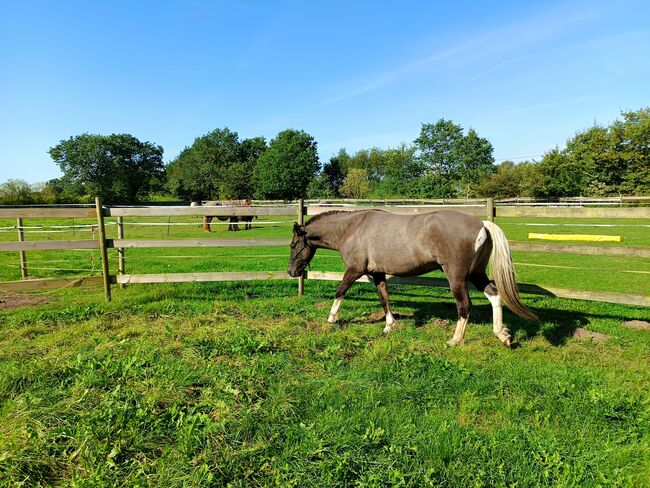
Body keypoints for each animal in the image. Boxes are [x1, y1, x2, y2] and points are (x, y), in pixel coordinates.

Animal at [286, 210, 536, 346]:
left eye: (293, 245)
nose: (291, 271)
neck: (352, 228)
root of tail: (482, 224)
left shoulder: (355, 270)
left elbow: (340, 291)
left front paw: (331, 319)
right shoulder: (377, 273)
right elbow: (384, 297)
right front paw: (389, 326)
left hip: (456, 276)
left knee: (464, 305)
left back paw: (455, 340)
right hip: (476, 273)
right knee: (494, 295)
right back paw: (502, 335)